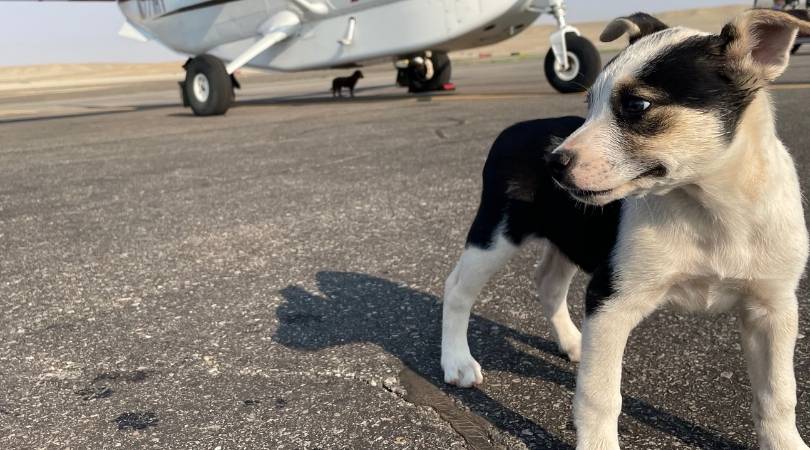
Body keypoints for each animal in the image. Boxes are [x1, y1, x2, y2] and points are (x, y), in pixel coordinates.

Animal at [442, 10, 808, 450]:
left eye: (636, 105)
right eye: (589, 104)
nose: (553, 163)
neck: (710, 208)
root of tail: (515, 127)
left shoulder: (773, 309)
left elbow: (778, 394)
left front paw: (785, 442)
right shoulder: (610, 299)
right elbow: (599, 396)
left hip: (569, 236)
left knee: (548, 282)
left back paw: (574, 342)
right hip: (497, 232)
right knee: (457, 288)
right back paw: (457, 361)